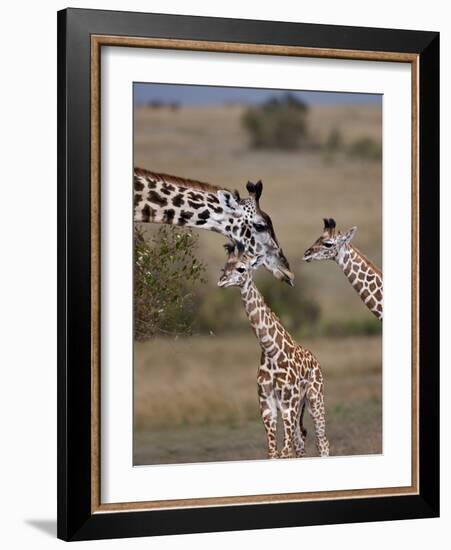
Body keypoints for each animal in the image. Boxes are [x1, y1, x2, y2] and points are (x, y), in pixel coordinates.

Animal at [217, 244, 330, 460]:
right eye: (223, 268)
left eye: (241, 269)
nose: (221, 282)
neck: (271, 351)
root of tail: (316, 360)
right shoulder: (267, 406)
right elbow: (273, 452)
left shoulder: (288, 405)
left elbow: (284, 452)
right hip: (300, 407)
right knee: (300, 441)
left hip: (314, 399)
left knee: (322, 442)